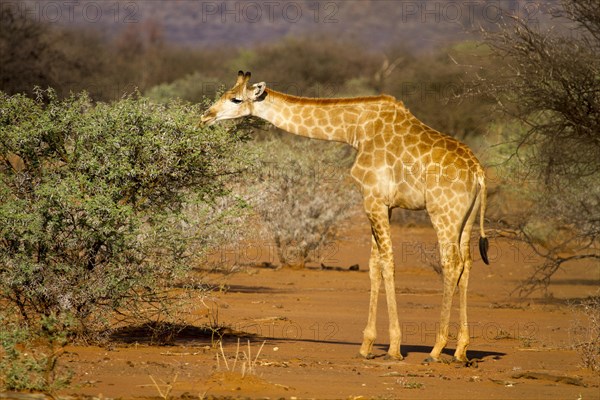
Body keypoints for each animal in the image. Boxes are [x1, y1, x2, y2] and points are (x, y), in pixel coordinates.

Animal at [202, 71, 488, 362]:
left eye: (236, 99)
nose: (206, 116)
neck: (356, 130)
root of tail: (478, 173)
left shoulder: (373, 199)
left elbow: (387, 263)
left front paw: (394, 347)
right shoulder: (385, 205)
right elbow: (374, 265)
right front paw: (367, 344)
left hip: (443, 213)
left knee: (451, 263)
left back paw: (436, 349)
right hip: (466, 218)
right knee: (467, 263)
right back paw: (461, 350)